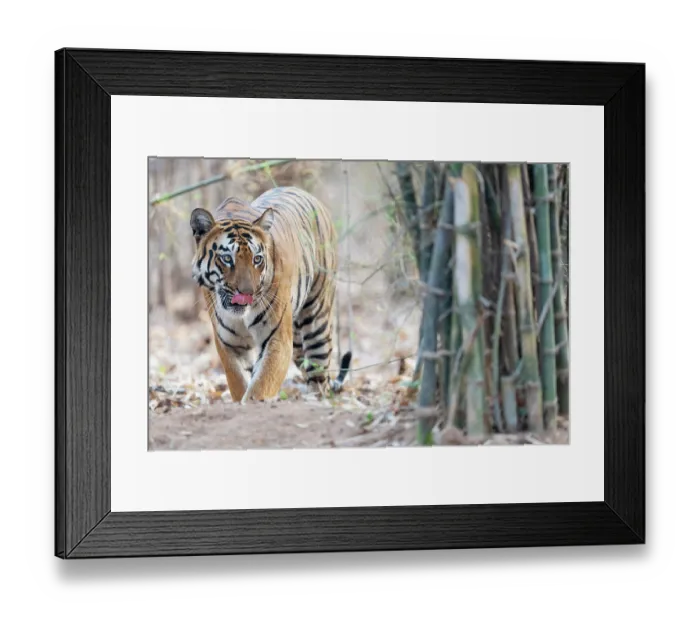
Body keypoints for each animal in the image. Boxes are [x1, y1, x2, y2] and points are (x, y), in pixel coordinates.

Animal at [190, 186, 352, 404]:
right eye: (227, 258)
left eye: (257, 259)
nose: (247, 293)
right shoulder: (229, 344)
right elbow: (239, 382)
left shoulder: (277, 340)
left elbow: (261, 385)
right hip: (298, 342)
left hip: (317, 322)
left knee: (319, 378)